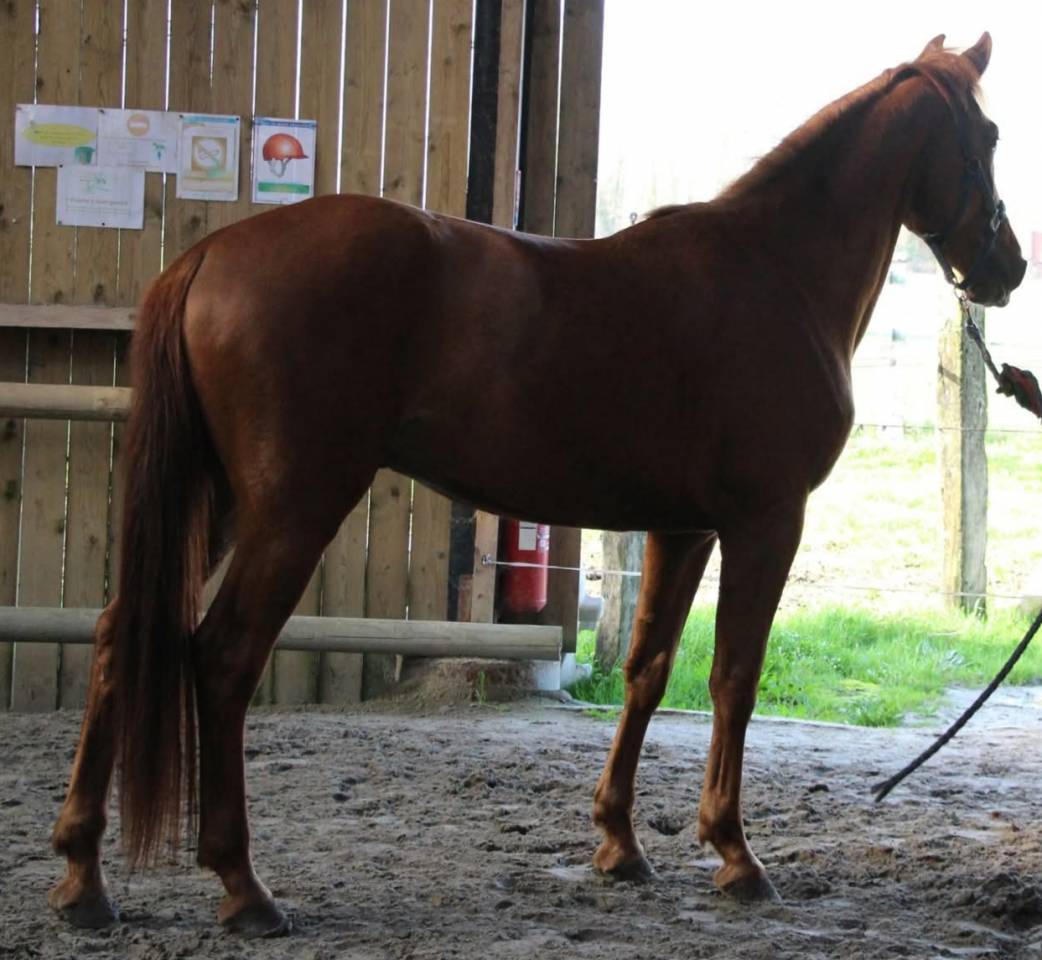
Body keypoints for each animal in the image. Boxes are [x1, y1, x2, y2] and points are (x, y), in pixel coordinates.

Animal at [48, 33, 1025, 936]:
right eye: (987, 135)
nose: (1009, 268)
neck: (776, 272)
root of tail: (213, 253)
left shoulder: (682, 527)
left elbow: (647, 670)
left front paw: (618, 844)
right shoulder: (765, 523)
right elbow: (733, 678)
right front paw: (735, 854)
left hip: (221, 504)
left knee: (117, 637)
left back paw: (81, 878)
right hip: (292, 507)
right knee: (222, 658)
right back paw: (244, 886)